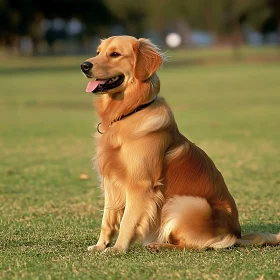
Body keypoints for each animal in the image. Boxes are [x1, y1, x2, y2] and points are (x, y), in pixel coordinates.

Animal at [80, 35, 280, 254]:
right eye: (98, 52)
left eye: (115, 54)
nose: (84, 65)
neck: (128, 113)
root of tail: (236, 235)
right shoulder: (111, 181)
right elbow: (107, 220)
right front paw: (100, 245)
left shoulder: (140, 184)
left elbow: (127, 221)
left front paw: (117, 249)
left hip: (184, 203)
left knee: (194, 245)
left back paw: (157, 244)